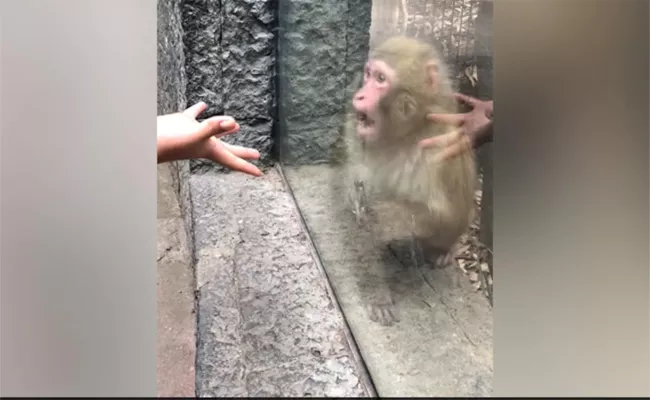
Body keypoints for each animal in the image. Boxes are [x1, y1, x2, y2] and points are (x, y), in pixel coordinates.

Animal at [334, 36, 476, 324]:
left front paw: (382, 214)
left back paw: (441, 251)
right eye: (368, 75)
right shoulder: (356, 136)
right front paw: (377, 295)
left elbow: (448, 214)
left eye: (381, 79)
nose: (359, 95)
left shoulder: (442, 145)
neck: (404, 134)